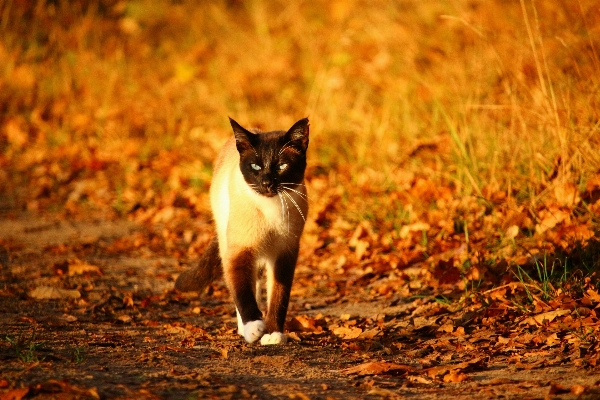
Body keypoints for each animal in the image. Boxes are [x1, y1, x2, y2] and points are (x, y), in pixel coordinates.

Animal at [175, 117, 310, 346]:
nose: (267, 183)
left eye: (281, 166)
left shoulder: (285, 253)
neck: (271, 208)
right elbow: (242, 292)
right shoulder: (240, 250)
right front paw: (255, 328)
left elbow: (279, 297)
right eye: (255, 166)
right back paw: (245, 330)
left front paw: (273, 334)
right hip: (230, 242)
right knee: (245, 285)